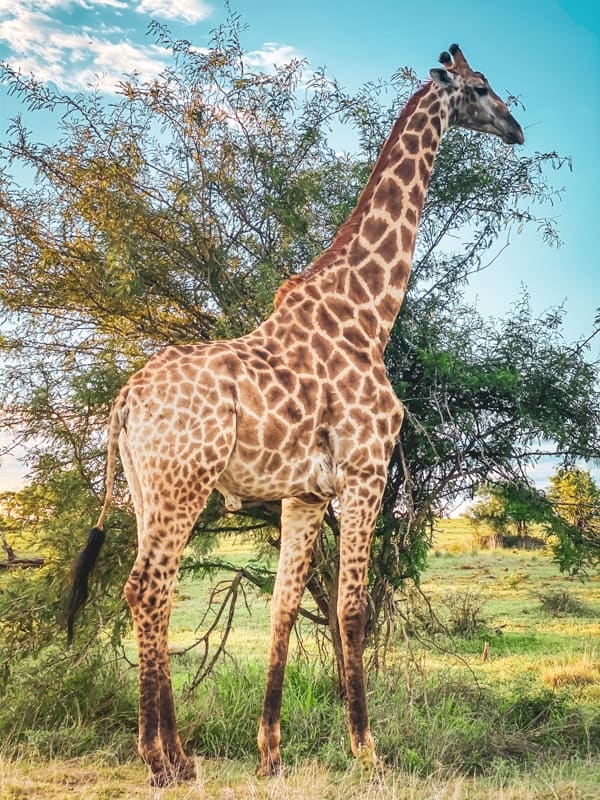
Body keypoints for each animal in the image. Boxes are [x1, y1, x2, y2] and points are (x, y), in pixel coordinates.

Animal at [67, 44, 524, 786]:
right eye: (481, 88)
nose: (517, 129)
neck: (369, 314)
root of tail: (125, 400)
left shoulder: (304, 494)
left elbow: (285, 606)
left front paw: (272, 754)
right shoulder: (365, 473)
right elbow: (351, 607)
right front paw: (368, 752)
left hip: (146, 490)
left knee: (156, 592)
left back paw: (181, 757)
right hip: (183, 484)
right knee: (145, 589)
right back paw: (159, 761)